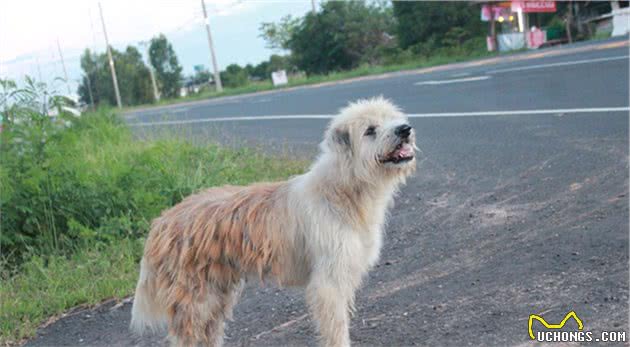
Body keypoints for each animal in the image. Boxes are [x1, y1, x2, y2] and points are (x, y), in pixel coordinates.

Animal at [132, 96, 420, 346]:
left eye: (392, 118)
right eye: (370, 130)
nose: (405, 129)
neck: (343, 190)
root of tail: (161, 222)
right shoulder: (328, 284)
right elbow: (336, 329)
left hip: (216, 294)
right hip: (194, 301)